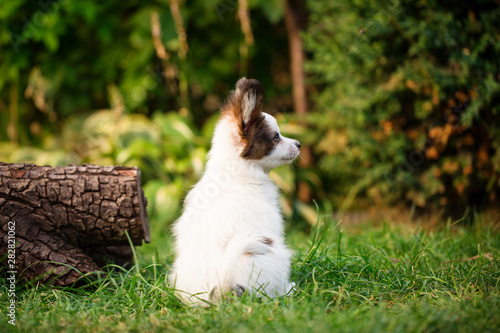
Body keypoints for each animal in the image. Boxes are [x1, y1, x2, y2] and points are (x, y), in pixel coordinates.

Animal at [170, 77, 298, 304]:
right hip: (277, 254)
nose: (299, 144)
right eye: (276, 137)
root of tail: (222, 291)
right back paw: (288, 289)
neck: (234, 172)